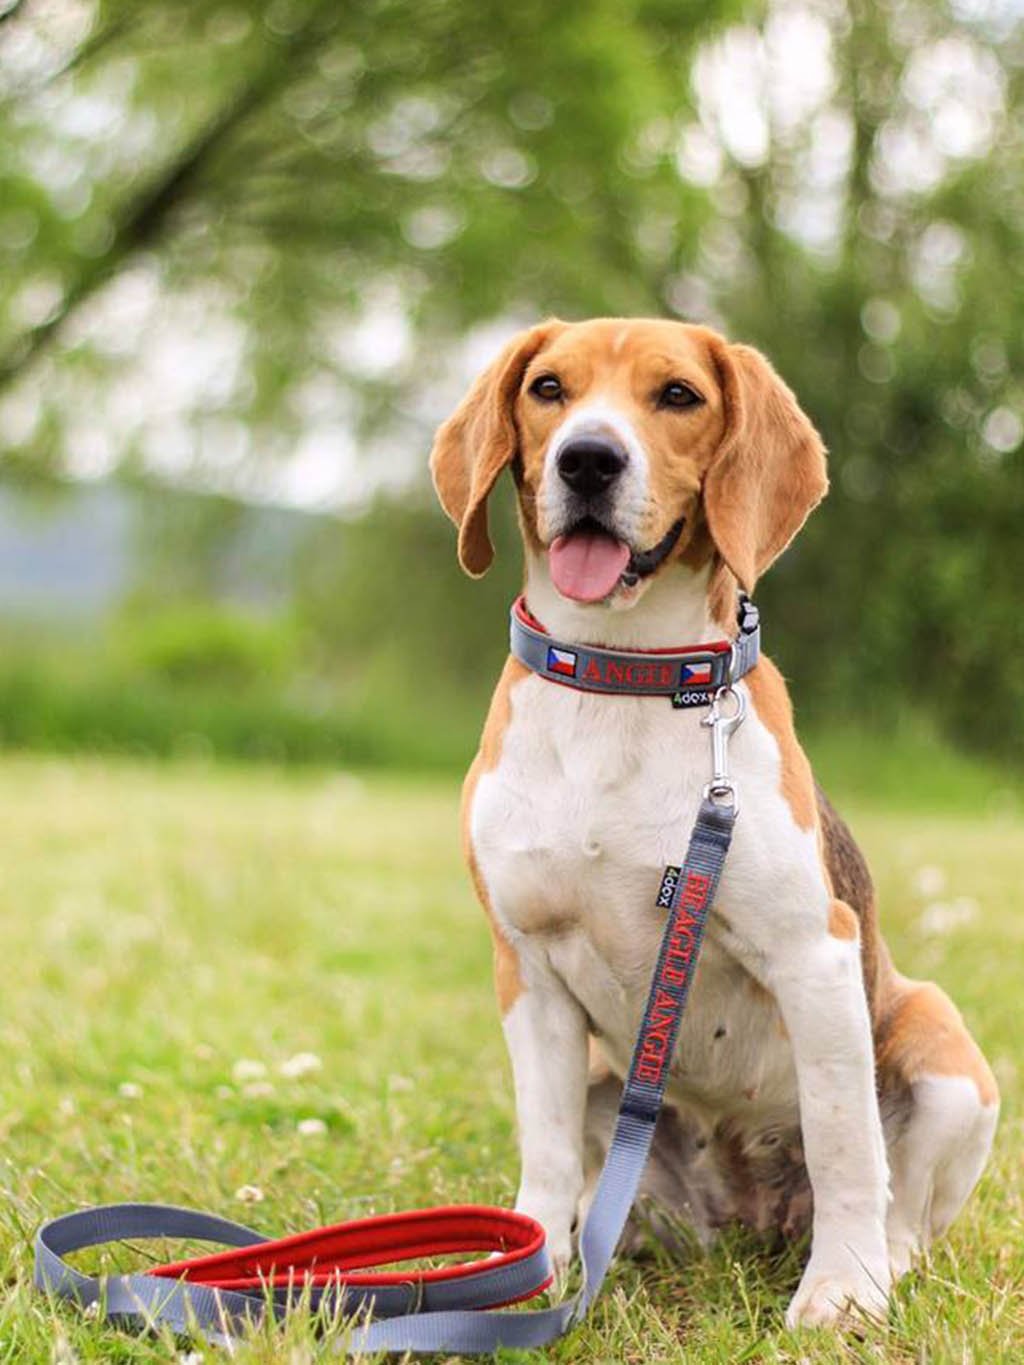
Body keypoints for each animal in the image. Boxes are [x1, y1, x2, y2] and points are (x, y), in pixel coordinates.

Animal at [428, 316, 999, 1321]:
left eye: (679, 396)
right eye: (548, 388)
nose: (587, 459)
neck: (621, 678)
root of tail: (750, 1209)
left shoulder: (814, 952)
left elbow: (848, 1142)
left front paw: (839, 1294)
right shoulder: (527, 970)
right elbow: (542, 1150)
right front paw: (529, 1278)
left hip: (944, 1047)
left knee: (901, 1209)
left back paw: (875, 1266)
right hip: (604, 1084)